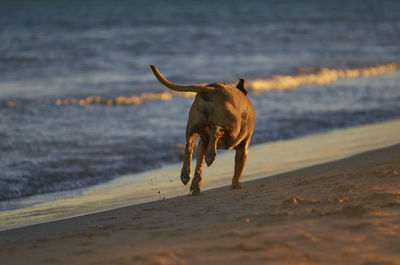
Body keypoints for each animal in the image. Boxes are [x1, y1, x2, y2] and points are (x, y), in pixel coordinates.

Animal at [150, 65, 256, 194]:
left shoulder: (203, 143)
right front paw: (236, 184)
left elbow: (199, 166)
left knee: (189, 145)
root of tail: (212, 89)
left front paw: (196, 184)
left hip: (193, 127)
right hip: (233, 131)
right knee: (217, 129)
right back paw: (211, 155)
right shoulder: (243, 148)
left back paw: (185, 173)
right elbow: (238, 168)